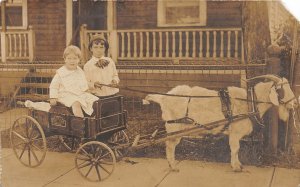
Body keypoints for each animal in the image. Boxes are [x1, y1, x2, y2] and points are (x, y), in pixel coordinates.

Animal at [145, 74, 298, 171]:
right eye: (281, 89)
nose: (296, 103)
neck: (250, 101)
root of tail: (163, 98)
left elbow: (236, 150)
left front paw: (239, 165)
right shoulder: (235, 133)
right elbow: (235, 149)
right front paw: (236, 167)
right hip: (175, 127)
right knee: (170, 145)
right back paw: (174, 166)